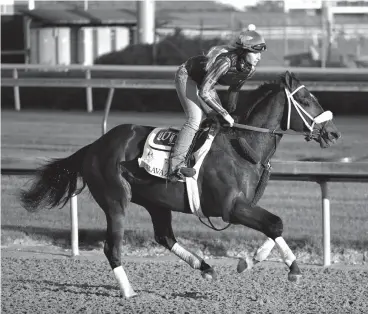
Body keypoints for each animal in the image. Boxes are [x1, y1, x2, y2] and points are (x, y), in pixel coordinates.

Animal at [21, 70, 340, 296]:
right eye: (306, 100)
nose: (333, 133)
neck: (242, 145)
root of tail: (94, 146)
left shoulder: (243, 206)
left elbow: (273, 227)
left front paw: (253, 261)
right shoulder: (231, 208)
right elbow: (275, 224)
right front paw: (289, 268)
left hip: (156, 202)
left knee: (164, 237)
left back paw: (206, 267)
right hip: (115, 200)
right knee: (112, 248)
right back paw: (129, 292)